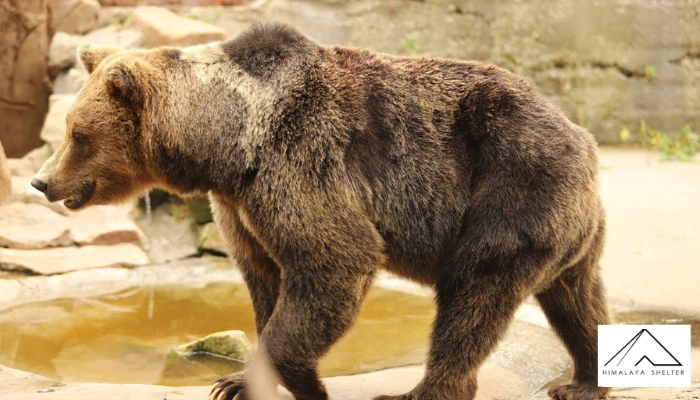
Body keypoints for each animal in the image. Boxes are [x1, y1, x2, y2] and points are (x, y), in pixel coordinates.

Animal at [33, 22, 610, 400]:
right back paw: (583, 380)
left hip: (511, 184)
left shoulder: (300, 163)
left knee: (475, 293)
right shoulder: (240, 205)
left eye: (77, 133)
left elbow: (332, 261)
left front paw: (302, 382)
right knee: (577, 299)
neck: (226, 147)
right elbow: (264, 279)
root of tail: (583, 138)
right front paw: (235, 380)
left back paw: (422, 391)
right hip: (569, 225)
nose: (42, 180)